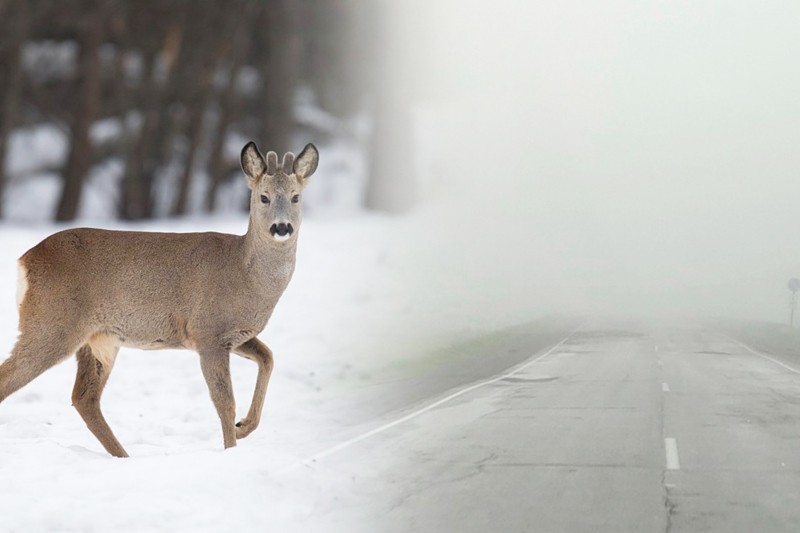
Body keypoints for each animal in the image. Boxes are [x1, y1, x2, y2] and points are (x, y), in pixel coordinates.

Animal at [0, 141, 318, 458]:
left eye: (296, 197)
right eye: (264, 197)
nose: (281, 227)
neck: (244, 273)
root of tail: (25, 261)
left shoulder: (235, 335)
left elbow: (268, 357)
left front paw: (245, 426)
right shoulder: (208, 331)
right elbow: (225, 402)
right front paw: (231, 450)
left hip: (98, 338)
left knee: (84, 397)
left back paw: (124, 457)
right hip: (52, 324)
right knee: (12, 379)